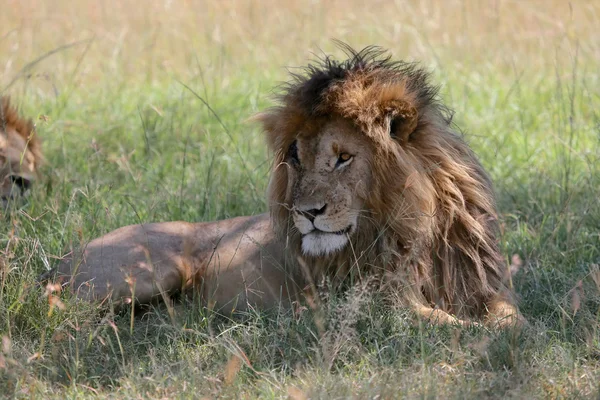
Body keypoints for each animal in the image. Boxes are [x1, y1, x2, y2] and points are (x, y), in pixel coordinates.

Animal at [47, 45, 524, 328]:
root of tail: (58, 261)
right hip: (148, 269)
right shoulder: (379, 303)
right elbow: (453, 325)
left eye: (343, 158)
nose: (306, 213)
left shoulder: (486, 287)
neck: (418, 229)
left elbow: (510, 320)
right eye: (295, 157)